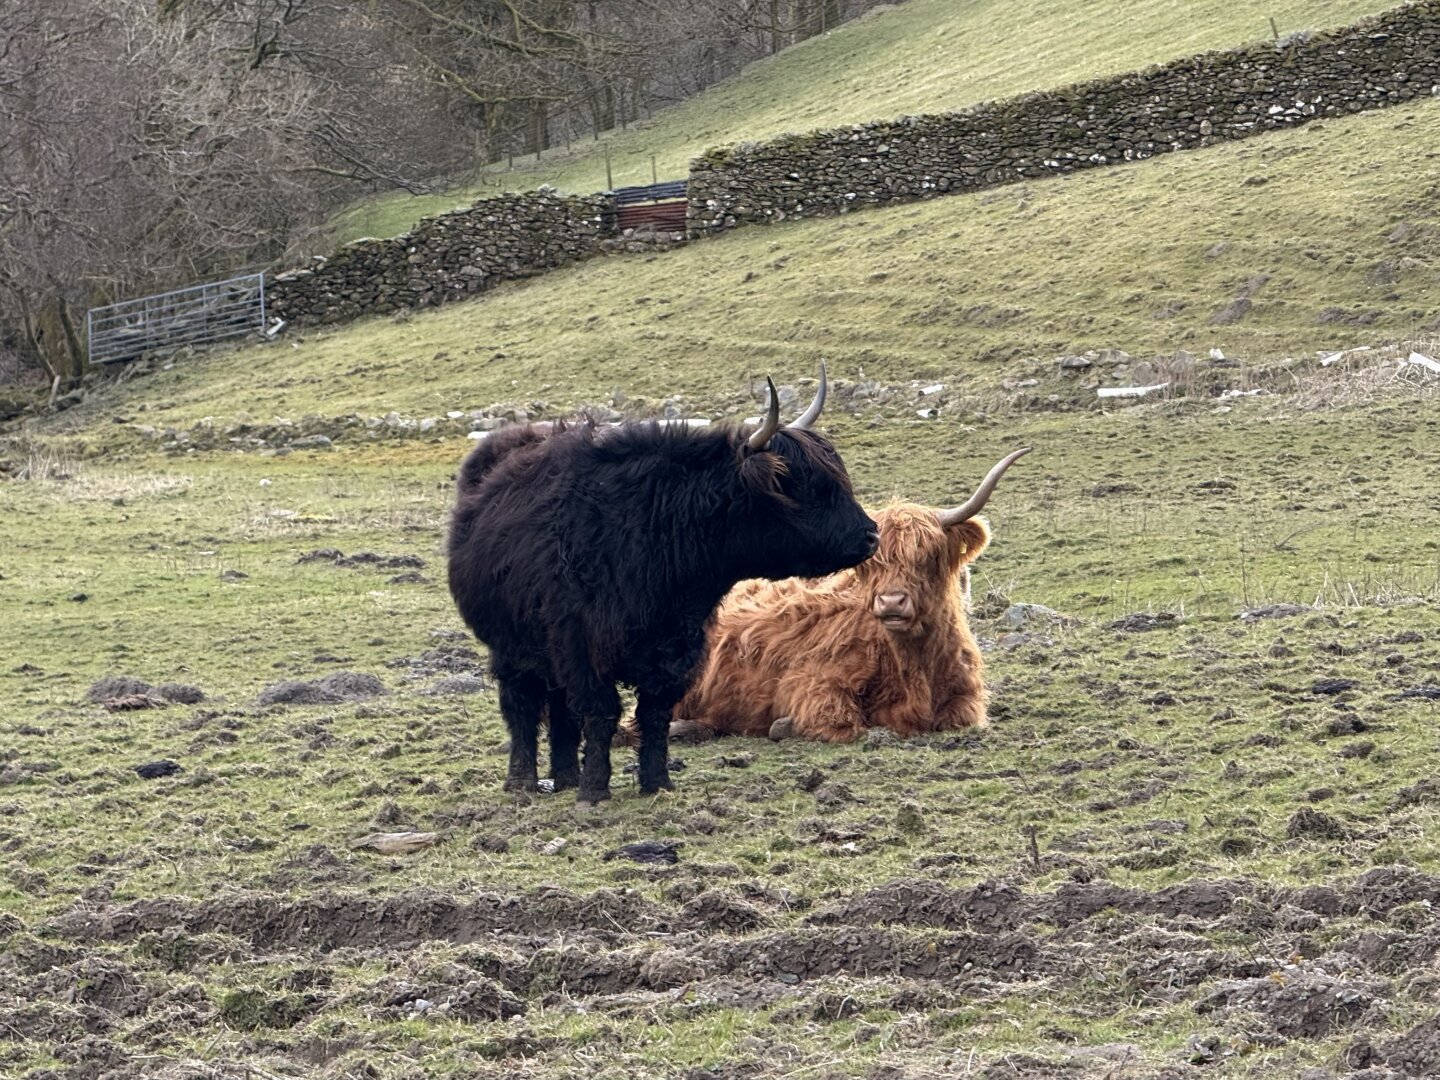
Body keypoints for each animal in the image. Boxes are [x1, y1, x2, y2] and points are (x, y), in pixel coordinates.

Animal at [447, 367, 879, 806]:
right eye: (805, 485)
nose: (870, 535)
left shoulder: (677, 649)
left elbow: (654, 715)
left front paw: (656, 782)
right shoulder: (582, 644)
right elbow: (600, 712)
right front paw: (594, 790)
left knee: (559, 706)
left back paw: (565, 776)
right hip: (510, 646)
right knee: (521, 704)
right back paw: (523, 781)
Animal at [669, 448, 1029, 744]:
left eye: (929, 555)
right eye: (869, 561)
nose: (891, 602)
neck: (913, 663)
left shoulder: (965, 700)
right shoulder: (812, 683)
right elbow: (846, 724)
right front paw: (782, 726)